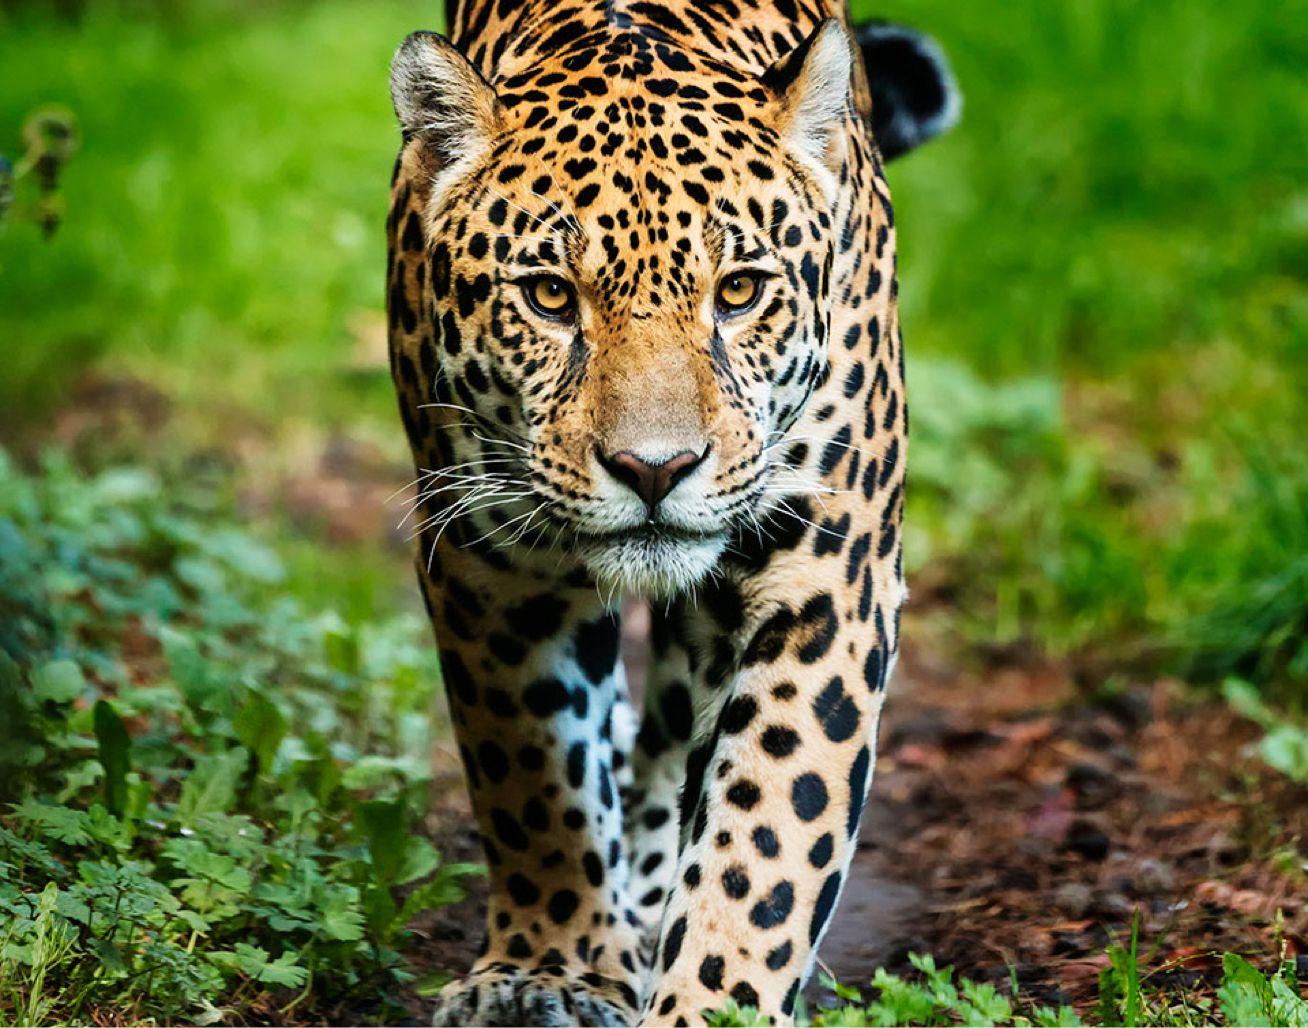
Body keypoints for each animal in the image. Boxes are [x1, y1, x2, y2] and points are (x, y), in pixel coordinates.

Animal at [384, 0, 957, 1022]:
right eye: (549, 295)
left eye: (739, 291)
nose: (655, 471)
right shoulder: (494, 565)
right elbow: (535, 781)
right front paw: (547, 970)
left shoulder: (825, 572)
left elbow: (766, 830)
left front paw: (708, 997)